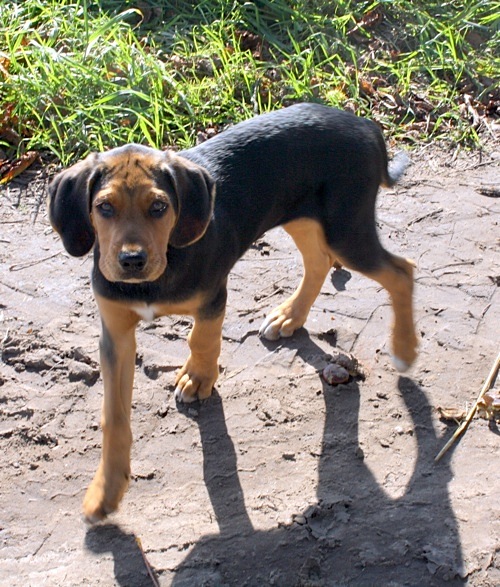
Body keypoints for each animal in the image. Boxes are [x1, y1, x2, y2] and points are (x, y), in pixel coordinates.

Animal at [48, 102, 416, 524]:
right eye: (104, 207)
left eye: (159, 207)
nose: (132, 261)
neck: (157, 274)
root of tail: (365, 125)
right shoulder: (115, 333)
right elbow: (114, 418)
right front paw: (106, 491)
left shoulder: (213, 296)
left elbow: (202, 339)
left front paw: (198, 378)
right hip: (303, 218)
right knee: (320, 262)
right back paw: (290, 316)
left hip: (346, 228)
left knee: (402, 271)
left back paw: (405, 350)